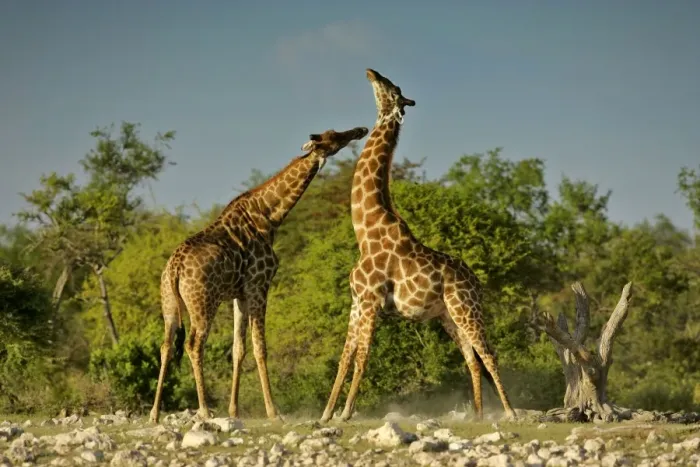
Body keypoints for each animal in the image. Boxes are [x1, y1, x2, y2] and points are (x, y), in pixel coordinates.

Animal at [149, 126, 369, 424]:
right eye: (334, 137)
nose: (360, 130)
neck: (270, 215)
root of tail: (175, 269)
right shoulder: (259, 284)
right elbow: (259, 347)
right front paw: (273, 411)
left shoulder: (239, 294)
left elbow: (238, 349)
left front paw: (234, 410)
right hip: (203, 303)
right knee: (194, 345)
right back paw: (204, 410)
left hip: (169, 304)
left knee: (166, 346)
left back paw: (154, 413)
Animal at [320, 69, 516, 423]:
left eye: (392, 87)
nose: (371, 72)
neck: (365, 231)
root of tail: (477, 284)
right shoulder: (357, 302)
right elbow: (345, 358)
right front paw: (326, 414)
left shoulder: (370, 302)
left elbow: (362, 358)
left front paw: (345, 413)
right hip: (448, 316)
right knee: (471, 359)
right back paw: (478, 416)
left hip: (467, 308)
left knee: (489, 354)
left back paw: (509, 412)